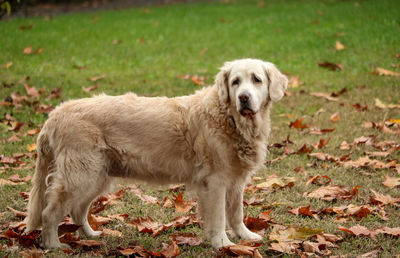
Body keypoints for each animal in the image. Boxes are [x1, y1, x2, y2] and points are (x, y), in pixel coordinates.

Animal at [25, 58, 288, 248]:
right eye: (235, 82)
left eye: (256, 80)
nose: (244, 98)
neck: (230, 119)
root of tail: (55, 114)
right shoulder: (214, 183)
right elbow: (220, 218)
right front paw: (223, 244)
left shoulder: (235, 181)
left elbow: (236, 214)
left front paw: (246, 236)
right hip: (81, 175)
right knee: (50, 212)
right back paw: (53, 246)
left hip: (97, 176)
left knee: (78, 210)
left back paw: (92, 235)